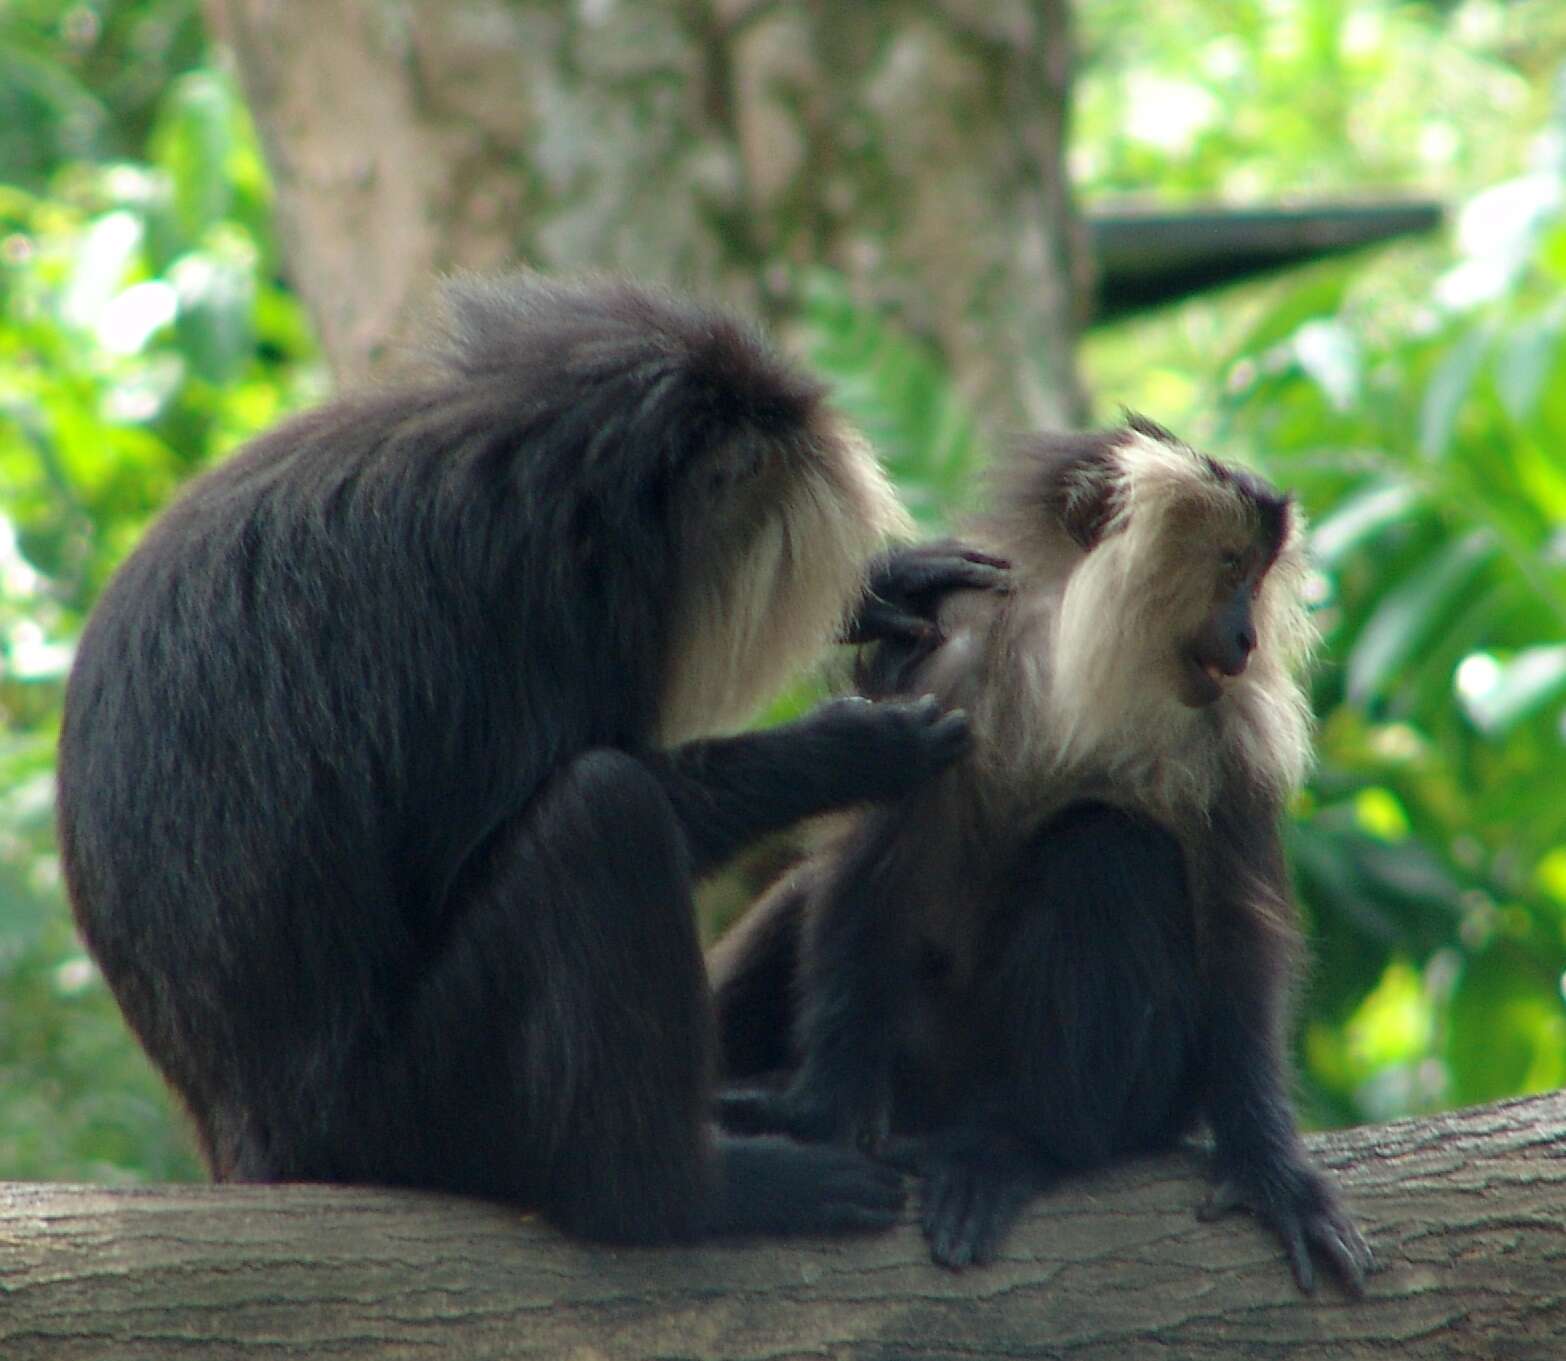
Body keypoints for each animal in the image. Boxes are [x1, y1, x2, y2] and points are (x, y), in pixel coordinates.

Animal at [61, 274, 1002, 1240]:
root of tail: (252, 1145)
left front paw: (886, 588)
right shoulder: (511, 607)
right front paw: (844, 750)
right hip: (405, 1110)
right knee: (602, 815)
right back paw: (683, 1194)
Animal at [714, 413, 1384, 1284]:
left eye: (1257, 575)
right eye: (1232, 565)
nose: (1245, 635)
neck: (1069, 655)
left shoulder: (1229, 734)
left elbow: (1237, 927)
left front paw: (1272, 1167)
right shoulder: (947, 665)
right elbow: (870, 872)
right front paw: (822, 1109)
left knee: (1105, 849)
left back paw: (1017, 1143)